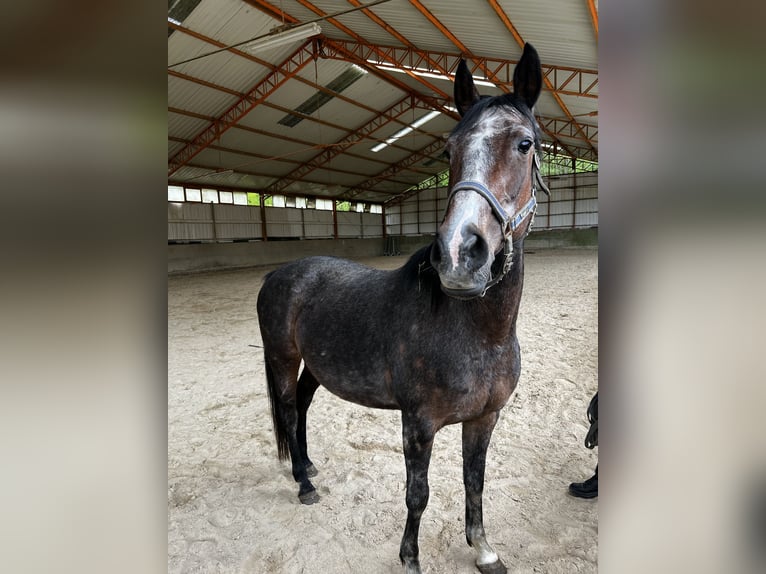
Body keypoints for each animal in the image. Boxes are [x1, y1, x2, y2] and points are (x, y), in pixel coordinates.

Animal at [260, 45, 548, 574]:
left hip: (314, 364)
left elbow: (474, 481)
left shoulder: (485, 419)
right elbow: (418, 494)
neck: (480, 332)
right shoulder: (418, 424)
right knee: (289, 411)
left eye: (524, 144)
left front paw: (484, 549)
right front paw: (410, 559)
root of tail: (279, 275)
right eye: (448, 150)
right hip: (283, 358)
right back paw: (304, 484)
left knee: (305, 405)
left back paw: (307, 466)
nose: (460, 254)